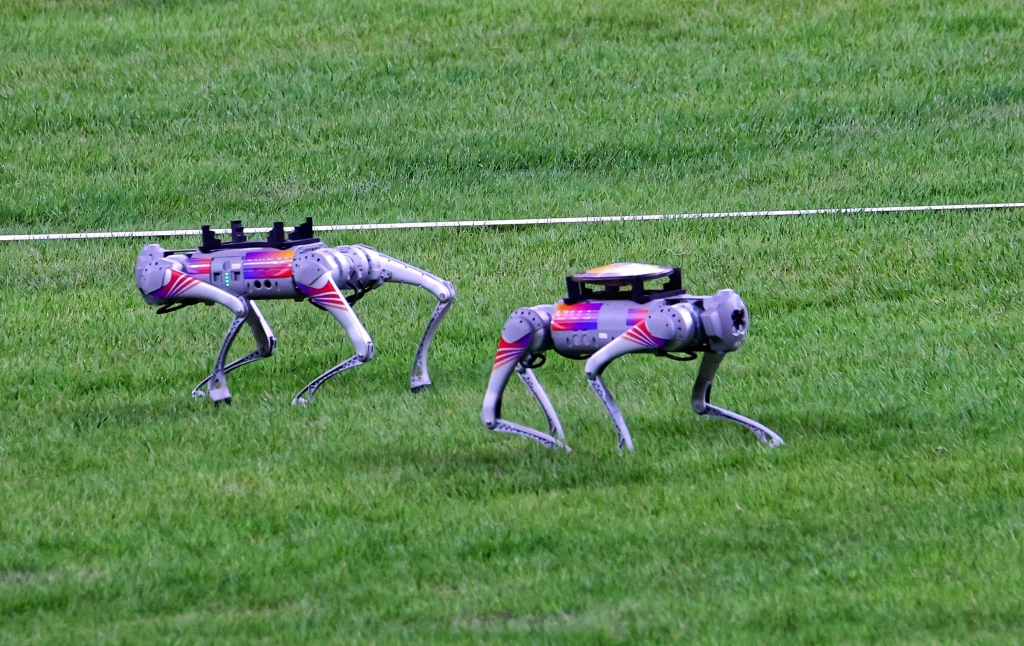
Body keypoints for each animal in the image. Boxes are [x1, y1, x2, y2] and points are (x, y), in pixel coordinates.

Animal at [134, 220, 454, 407]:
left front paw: (218, 391)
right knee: (444, 290)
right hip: (362, 264)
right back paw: (419, 380)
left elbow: (240, 311)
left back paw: (307, 394)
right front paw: (208, 389)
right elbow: (264, 343)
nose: (147, 284)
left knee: (366, 345)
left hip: (320, 279)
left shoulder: (311, 278)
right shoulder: (248, 294)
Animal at [481, 262, 782, 450]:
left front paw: (769, 438)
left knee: (520, 369)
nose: (736, 316)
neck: (697, 314)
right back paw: (557, 444)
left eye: (736, 316)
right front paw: (625, 449)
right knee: (490, 414)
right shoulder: (660, 327)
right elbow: (591, 368)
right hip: (523, 326)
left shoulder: (714, 348)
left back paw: (556, 436)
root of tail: (543, 311)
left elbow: (700, 402)